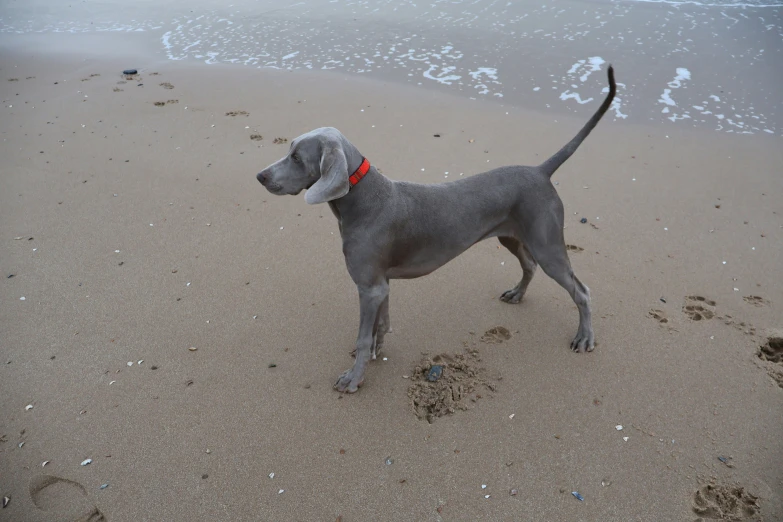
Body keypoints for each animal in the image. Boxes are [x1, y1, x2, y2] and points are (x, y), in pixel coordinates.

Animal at [260, 64, 616, 390]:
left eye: (296, 157)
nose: (260, 175)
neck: (362, 198)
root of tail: (540, 171)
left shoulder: (369, 285)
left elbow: (363, 336)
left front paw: (353, 378)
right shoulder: (381, 284)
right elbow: (380, 325)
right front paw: (376, 352)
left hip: (547, 242)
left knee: (581, 290)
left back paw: (584, 337)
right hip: (511, 236)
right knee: (529, 265)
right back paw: (517, 294)